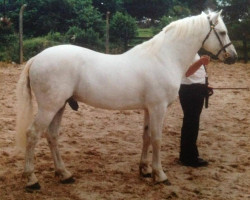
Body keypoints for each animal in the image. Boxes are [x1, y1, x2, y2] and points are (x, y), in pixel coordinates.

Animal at [16, 10, 236, 190]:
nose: (232, 56)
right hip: (49, 108)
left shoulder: (149, 109)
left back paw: (64, 174)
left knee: (52, 136)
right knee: (33, 134)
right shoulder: (158, 108)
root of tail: (37, 58)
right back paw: (32, 180)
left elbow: (146, 137)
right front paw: (160, 175)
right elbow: (157, 139)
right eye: (222, 32)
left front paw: (145, 170)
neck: (164, 57)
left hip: (59, 106)